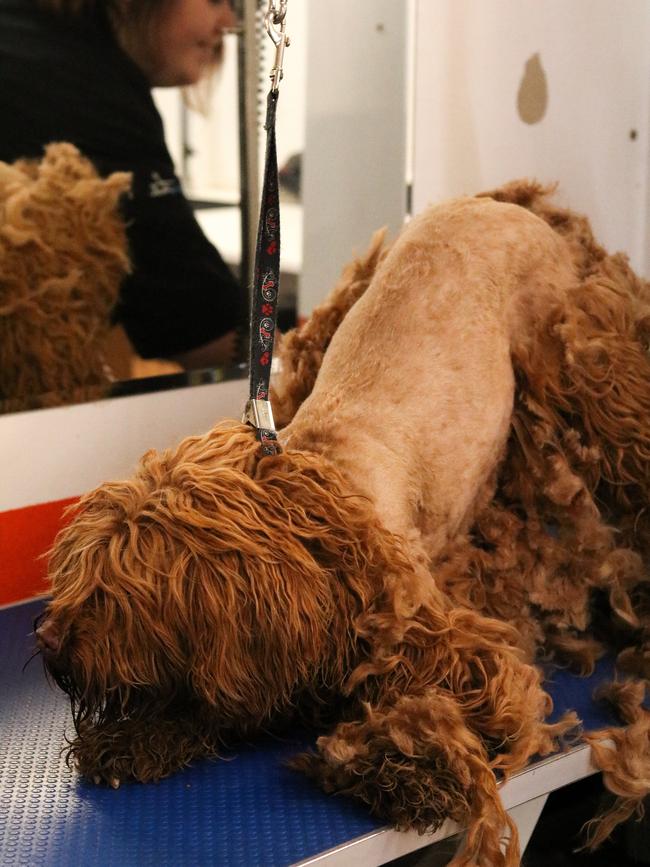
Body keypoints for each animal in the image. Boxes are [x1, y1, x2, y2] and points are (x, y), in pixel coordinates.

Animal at [36, 188, 648, 867]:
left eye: (120, 594)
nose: (49, 643)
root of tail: (494, 202)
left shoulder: (448, 642)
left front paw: (407, 770)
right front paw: (137, 737)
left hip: (568, 363)